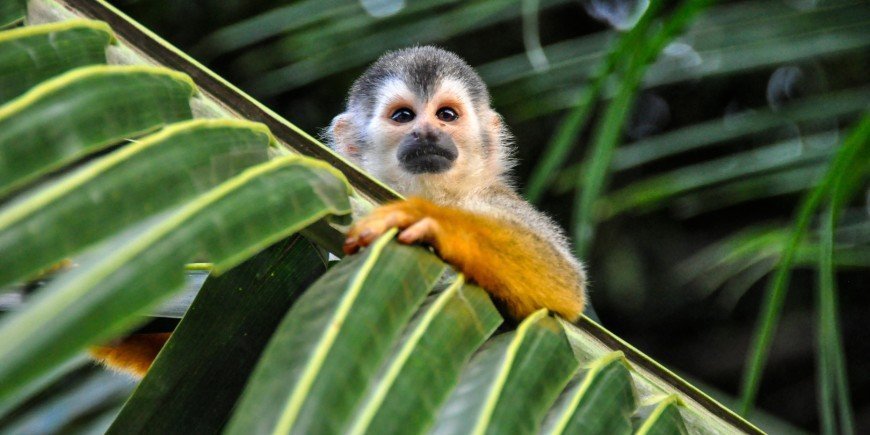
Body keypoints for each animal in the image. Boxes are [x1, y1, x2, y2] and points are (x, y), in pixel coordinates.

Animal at [92, 46, 586, 378]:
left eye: (446, 115)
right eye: (404, 116)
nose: (428, 133)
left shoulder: (495, 199)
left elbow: (564, 287)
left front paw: (431, 222)